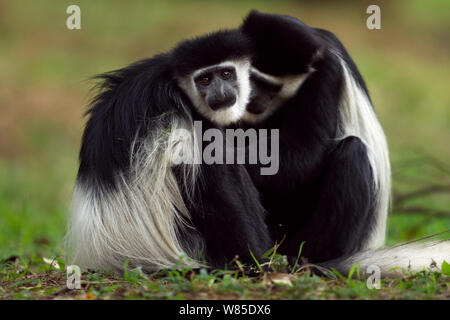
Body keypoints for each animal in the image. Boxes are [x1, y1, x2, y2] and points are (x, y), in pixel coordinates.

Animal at [65, 30, 272, 272]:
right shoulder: (180, 118)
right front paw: (253, 263)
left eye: (226, 73)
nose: (221, 93)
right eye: (204, 80)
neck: (177, 85)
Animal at [241, 10, 448, 276]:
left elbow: (305, 152)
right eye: (244, 75)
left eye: (268, 85)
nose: (248, 99)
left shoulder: (325, 75)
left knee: (353, 151)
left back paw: (307, 258)